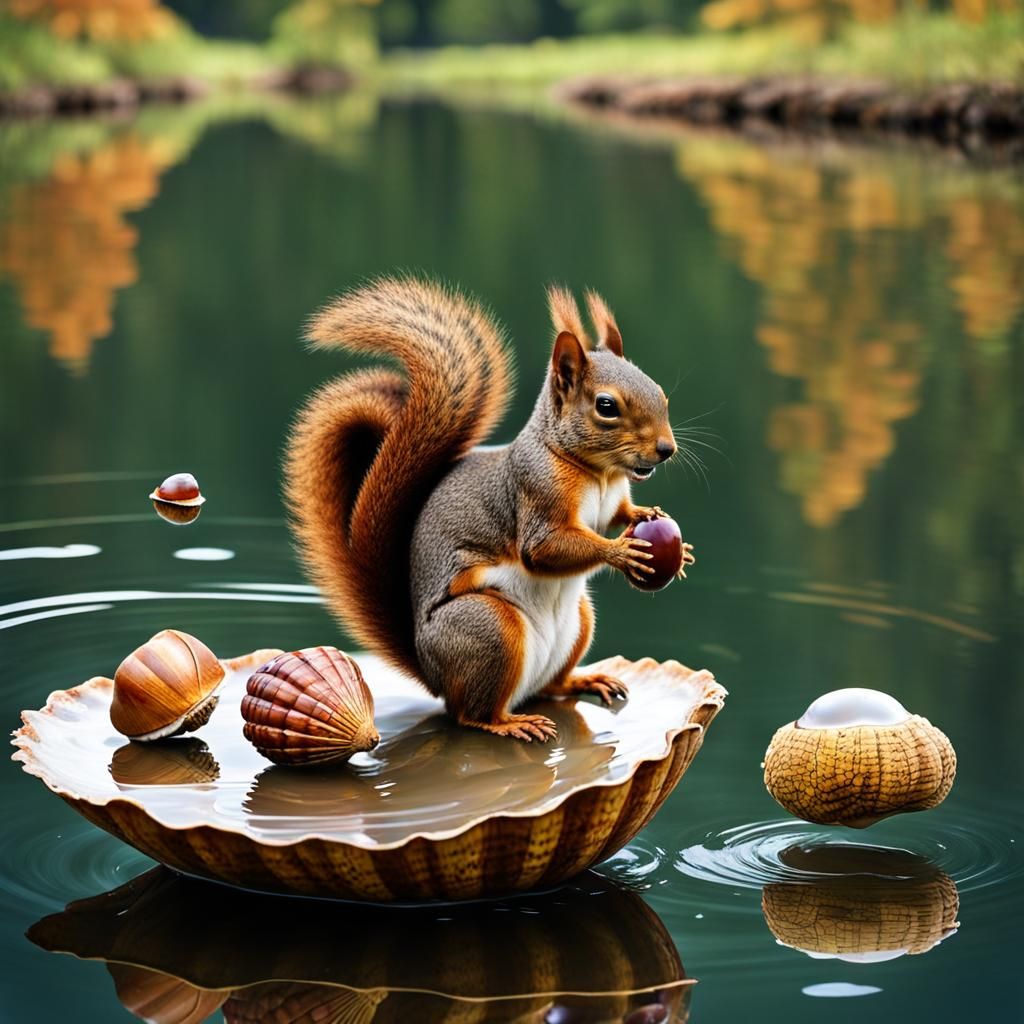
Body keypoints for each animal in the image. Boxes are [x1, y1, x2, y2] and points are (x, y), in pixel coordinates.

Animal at [285, 277, 693, 742]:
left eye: (659, 392)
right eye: (606, 406)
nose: (666, 449)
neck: (599, 474)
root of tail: (434, 677)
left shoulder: (612, 498)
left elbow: (616, 514)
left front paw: (651, 522)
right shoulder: (535, 491)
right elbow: (544, 548)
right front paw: (621, 552)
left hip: (579, 623)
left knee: (550, 687)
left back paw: (583, 680)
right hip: (489, 629)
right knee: (472, 714)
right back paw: (511, 723)